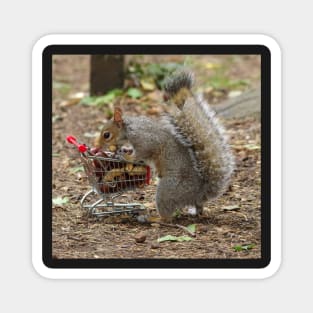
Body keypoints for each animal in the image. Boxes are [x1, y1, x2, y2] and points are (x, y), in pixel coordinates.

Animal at [95, 69, 234, 219]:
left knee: (166, 216)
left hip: (169, 189)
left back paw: (151, 218)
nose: (97, 147)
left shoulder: (145, 139)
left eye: (106, 135)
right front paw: (119, 154)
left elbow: (142, 152)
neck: (128, 130)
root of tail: (200, 193)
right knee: (197, 209)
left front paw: (125, 157)